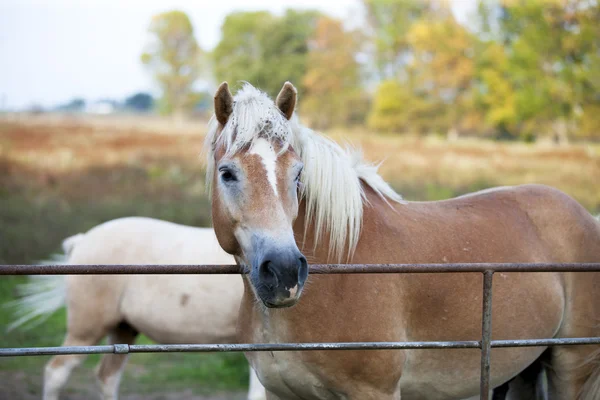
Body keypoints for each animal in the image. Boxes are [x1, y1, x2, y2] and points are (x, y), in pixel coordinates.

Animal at [204, 82, 596, 400]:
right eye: (227, 173)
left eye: (298, 174)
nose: (284, 272)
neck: (339, 268)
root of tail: (586, 216)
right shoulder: (281, 393)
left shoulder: (374, 391)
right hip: (527, 367)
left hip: (572, 364)